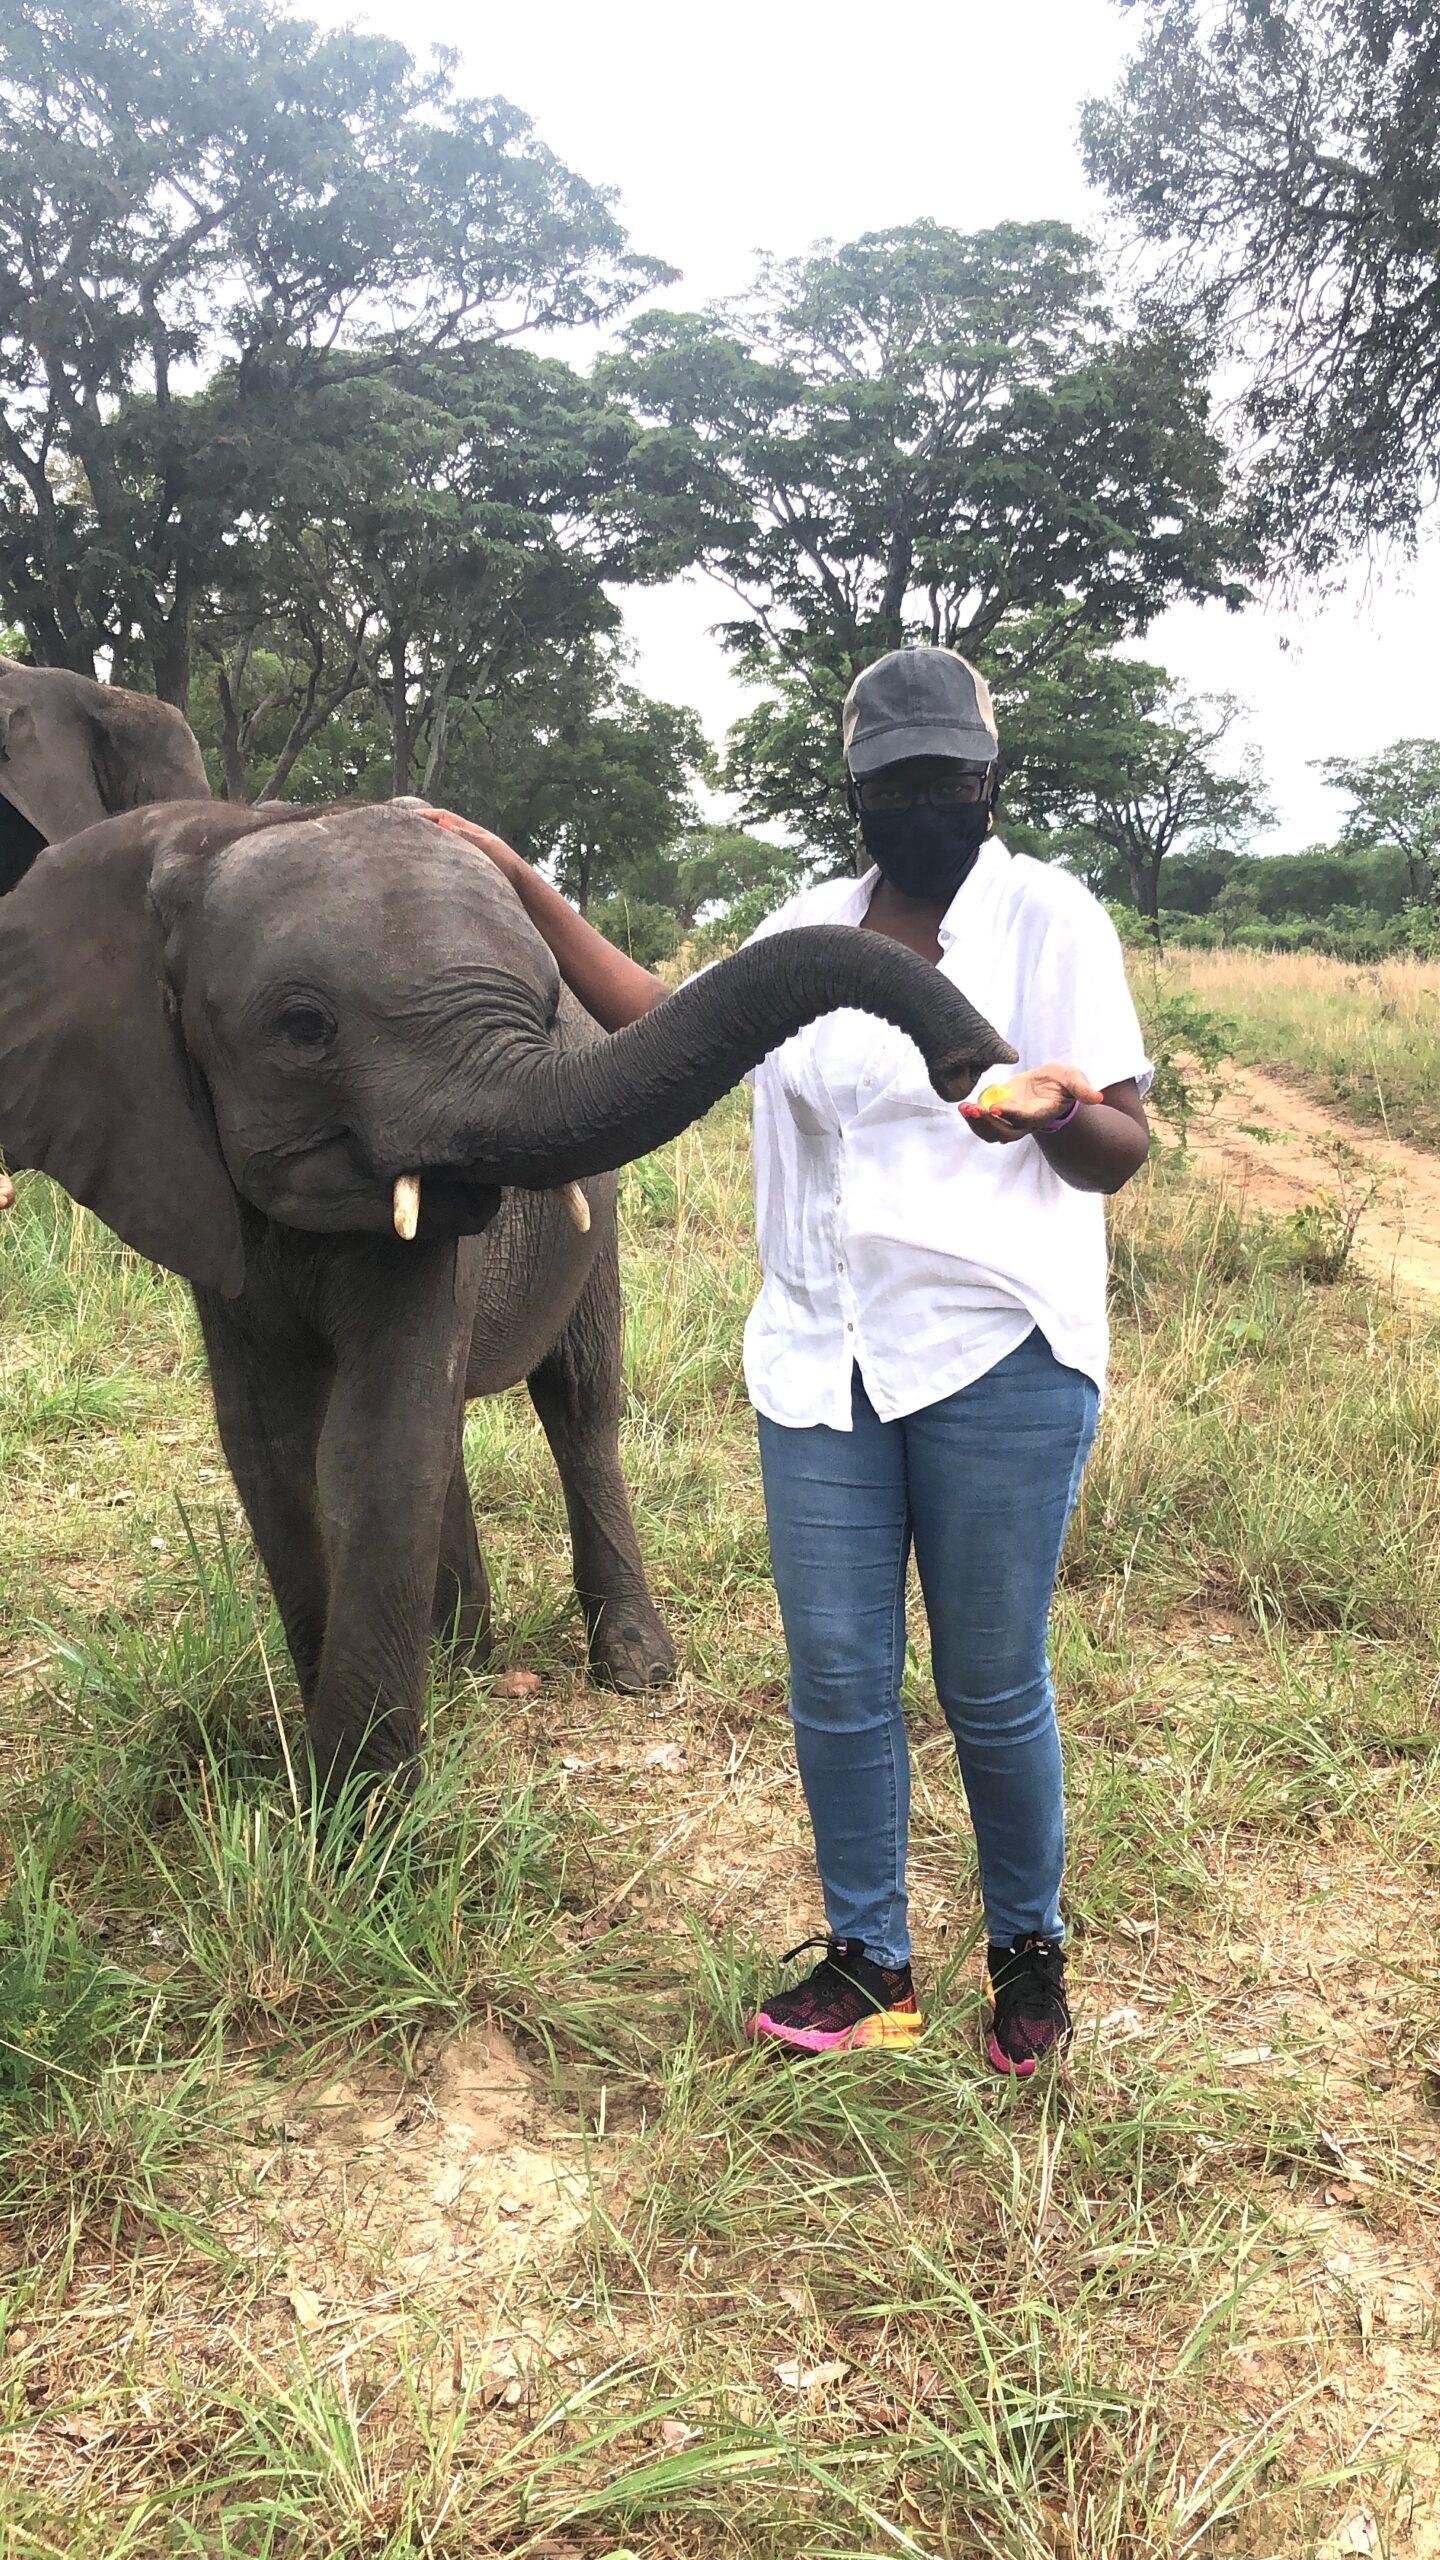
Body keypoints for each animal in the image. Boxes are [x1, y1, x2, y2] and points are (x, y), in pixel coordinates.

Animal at [0, 794, 1016, 1793]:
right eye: (303, 1027)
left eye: (542, 1004)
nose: (977, 1065)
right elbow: (272, 1446)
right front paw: (334, 1788)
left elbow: (377, 1445)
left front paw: (357, 1808)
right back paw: (462, 1656)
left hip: (598, 1237)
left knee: (580, 1404)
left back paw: (629, 1668)